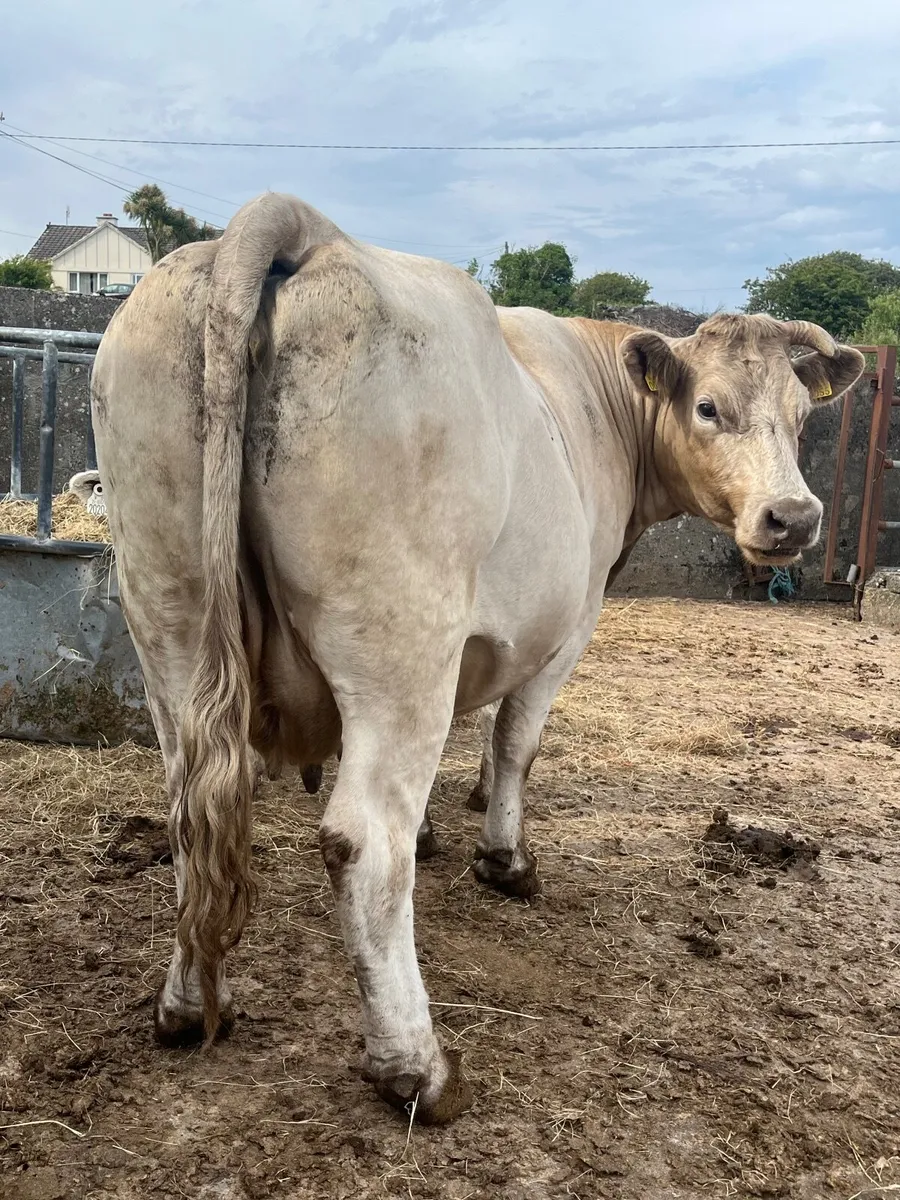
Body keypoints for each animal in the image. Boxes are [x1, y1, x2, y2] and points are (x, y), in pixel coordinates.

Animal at [90, 191, 864, 1125]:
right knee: (361, 840)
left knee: (192, 814)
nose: (795, 517)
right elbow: (514, 742)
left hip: (169, 619)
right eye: (710, 407)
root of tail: (297, 226)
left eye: (802, 416)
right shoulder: (566, 625)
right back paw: (416, 1068)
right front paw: (506, 859)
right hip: (399, 638)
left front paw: (441, 828)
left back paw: (188, 1006)